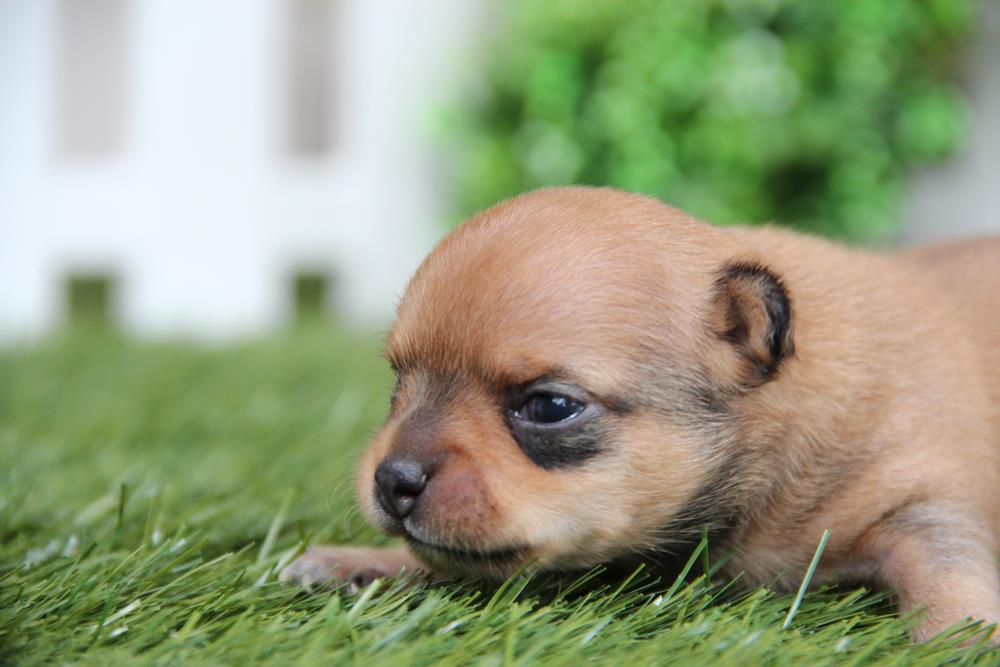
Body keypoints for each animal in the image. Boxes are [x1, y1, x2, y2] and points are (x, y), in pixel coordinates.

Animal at [282, 187, 1000, 643]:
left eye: (550, 407)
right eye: (398, 382)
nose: (393, 479)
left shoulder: (925, 505)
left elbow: (946, 572)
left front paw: (960, 640)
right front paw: (359, 562)